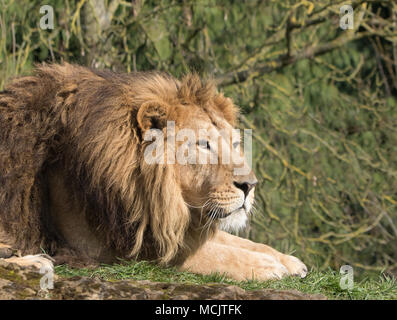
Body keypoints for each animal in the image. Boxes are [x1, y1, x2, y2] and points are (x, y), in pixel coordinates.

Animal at [0, 63, 306, 282]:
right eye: (203, 145)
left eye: (233, 144)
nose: (250, 185)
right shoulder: (109, 248)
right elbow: (213, 256)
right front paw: (267, 267)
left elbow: (238, 242)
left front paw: (288, 260)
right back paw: (33, 262)